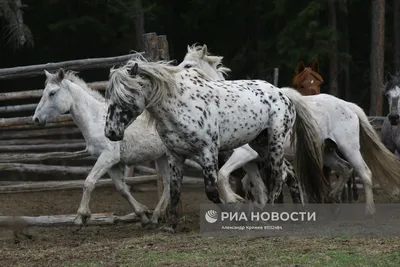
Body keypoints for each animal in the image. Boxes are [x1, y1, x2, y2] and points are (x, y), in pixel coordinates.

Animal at [32, 68, 175, 226]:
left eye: (52, 93)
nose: (36, 119)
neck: (96, 121)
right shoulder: (112, 163)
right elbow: (122, 189)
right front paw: (142, 214)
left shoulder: (108, 157)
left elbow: (89, 182)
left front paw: (81, 216)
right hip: (161, 157)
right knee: (168, 184)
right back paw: (155, 217)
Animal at [103, 55, 328, 232]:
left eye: (126, 95)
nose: (111, 132)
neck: (179, 105)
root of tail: (284, 94)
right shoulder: (175, 155)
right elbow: (175, 190)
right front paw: (171, 226)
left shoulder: (208, 150)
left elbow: (212, 190)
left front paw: (233, 211)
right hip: (260, 145)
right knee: (288, 172)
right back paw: (297, 213)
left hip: (275, 142)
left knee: (278, 176)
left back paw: (270, 214)